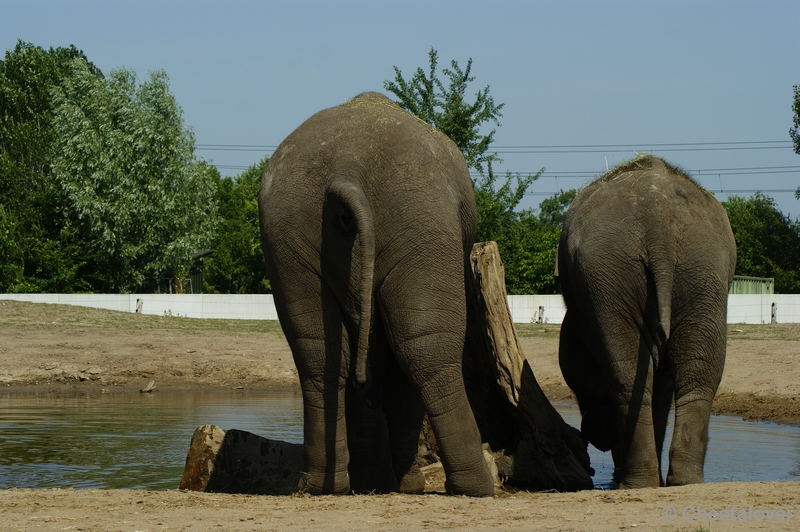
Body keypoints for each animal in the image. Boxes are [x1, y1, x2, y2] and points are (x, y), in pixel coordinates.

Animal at [258, 92, 494, 498]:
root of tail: (347, 168)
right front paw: (402, 484)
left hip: (287, 231)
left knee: (318, 354)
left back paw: (322, 486)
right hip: (423, 219)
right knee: (425, 347)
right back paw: (473, 487)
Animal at [556, 153, 736, 486]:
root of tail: (657, 220)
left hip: (625, 272)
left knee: (634, 381)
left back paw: (642, 482)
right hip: (697, 269)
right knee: (691, 376)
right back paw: (677, 481)